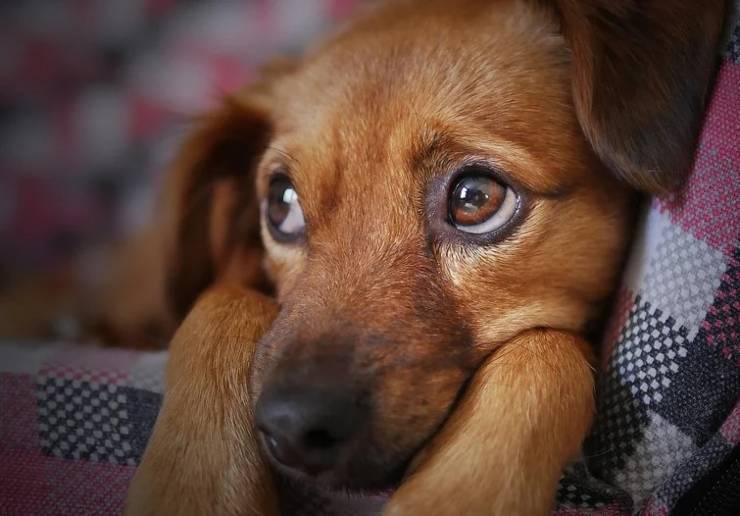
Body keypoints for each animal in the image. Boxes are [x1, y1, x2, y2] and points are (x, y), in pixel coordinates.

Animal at [124, 2, 724, 512]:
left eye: (475, 198)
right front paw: (192, 486)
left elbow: (545, 350)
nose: (292, 429)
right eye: (281, 204)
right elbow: (221, 300)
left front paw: (455, 495)